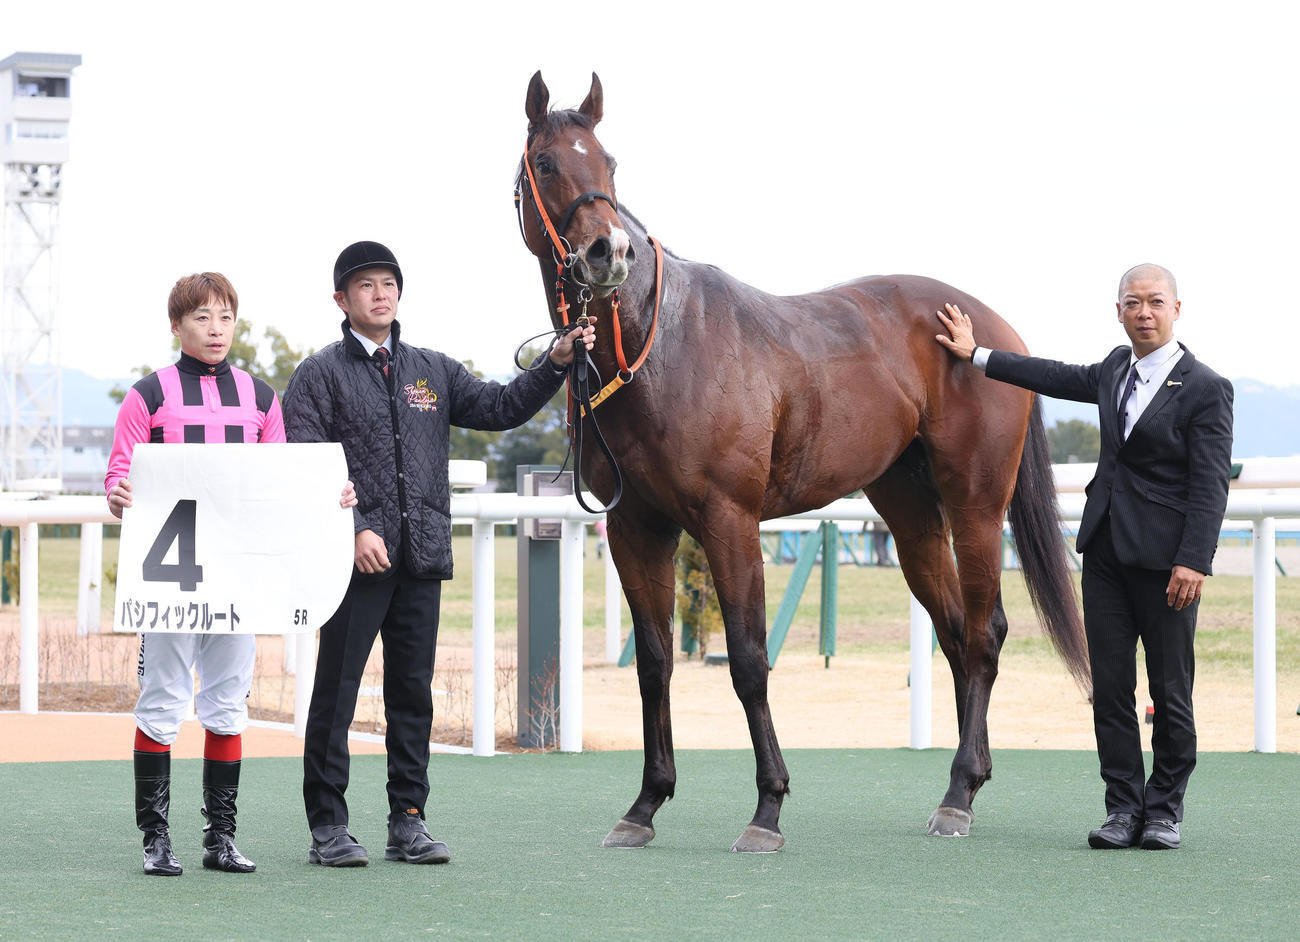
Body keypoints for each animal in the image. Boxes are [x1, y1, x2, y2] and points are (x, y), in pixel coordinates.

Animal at [515, 71, 1090, 852]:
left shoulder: (729, 520)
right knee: (954, 634)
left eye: (609, 164)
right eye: (546, 163)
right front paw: (645, 805)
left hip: (974, 506)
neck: (661, 346)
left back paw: (959, 794)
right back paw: (964, 784)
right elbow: (657, 663)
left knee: (983, 633)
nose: (609, 253)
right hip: (910, 515)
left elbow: (749, 660)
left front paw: (768, 808)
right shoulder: (637, 529)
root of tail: (991, 333)